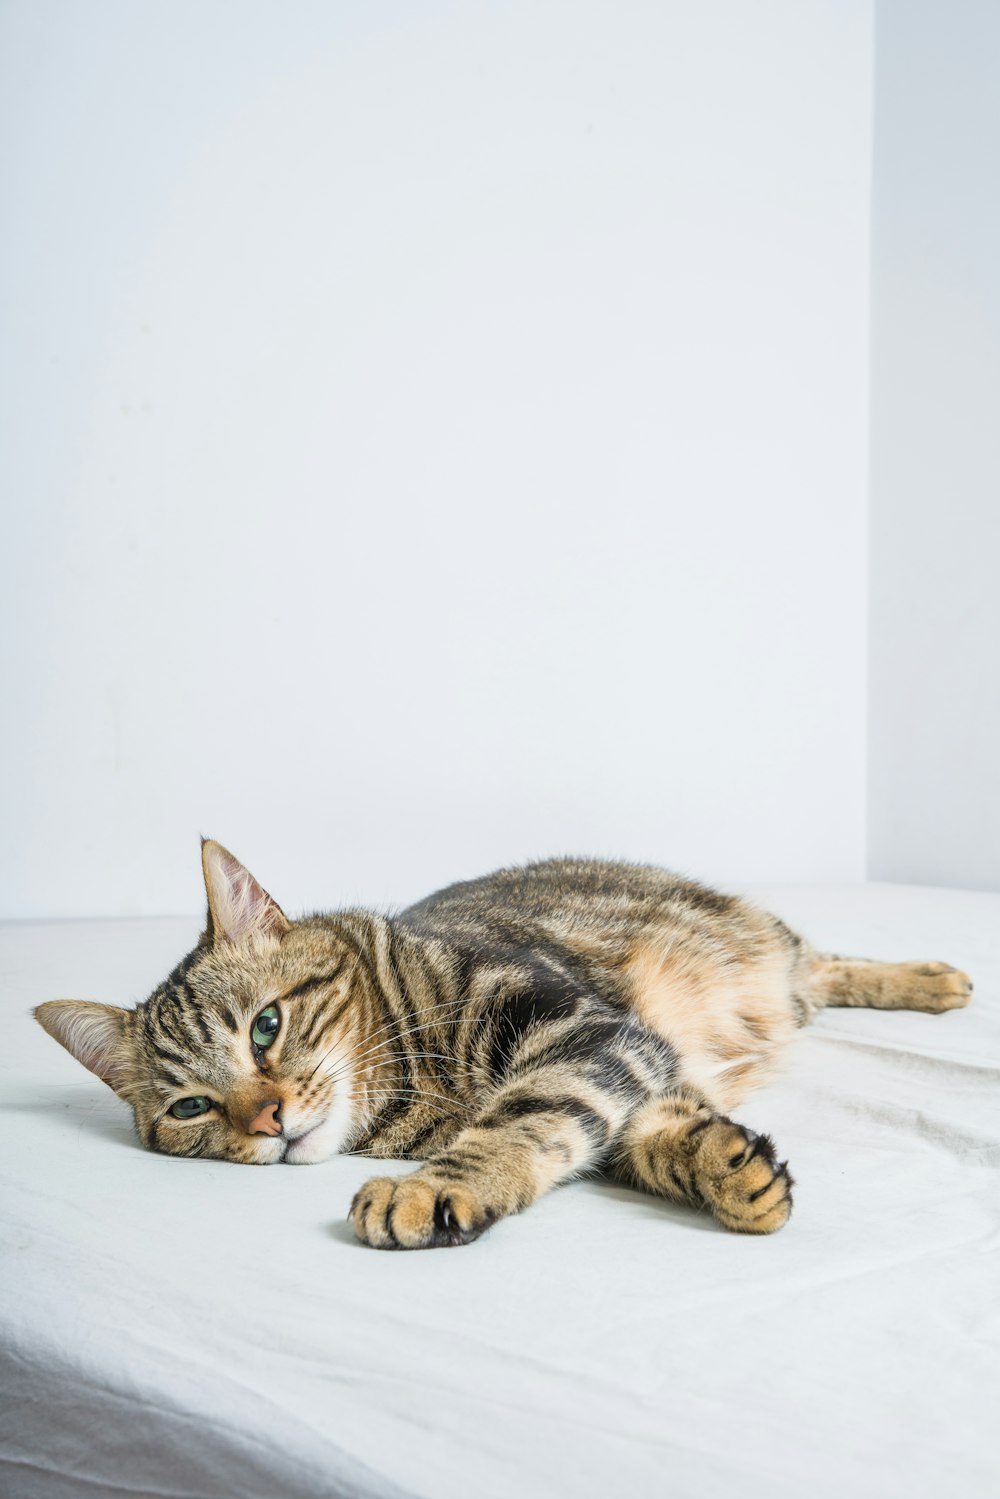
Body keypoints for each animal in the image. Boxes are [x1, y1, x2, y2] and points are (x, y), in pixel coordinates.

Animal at [35, 839, 971, 1247]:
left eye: (265, 1025)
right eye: (191, 1107)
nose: (265, 1119)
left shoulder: (582, 1028)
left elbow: (525, 1115)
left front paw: (433, 1186)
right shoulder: (634, 1064)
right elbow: (640, 1133)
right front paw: (727, 1167)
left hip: (766, 944)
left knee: (826, 960)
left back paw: (934, 978)